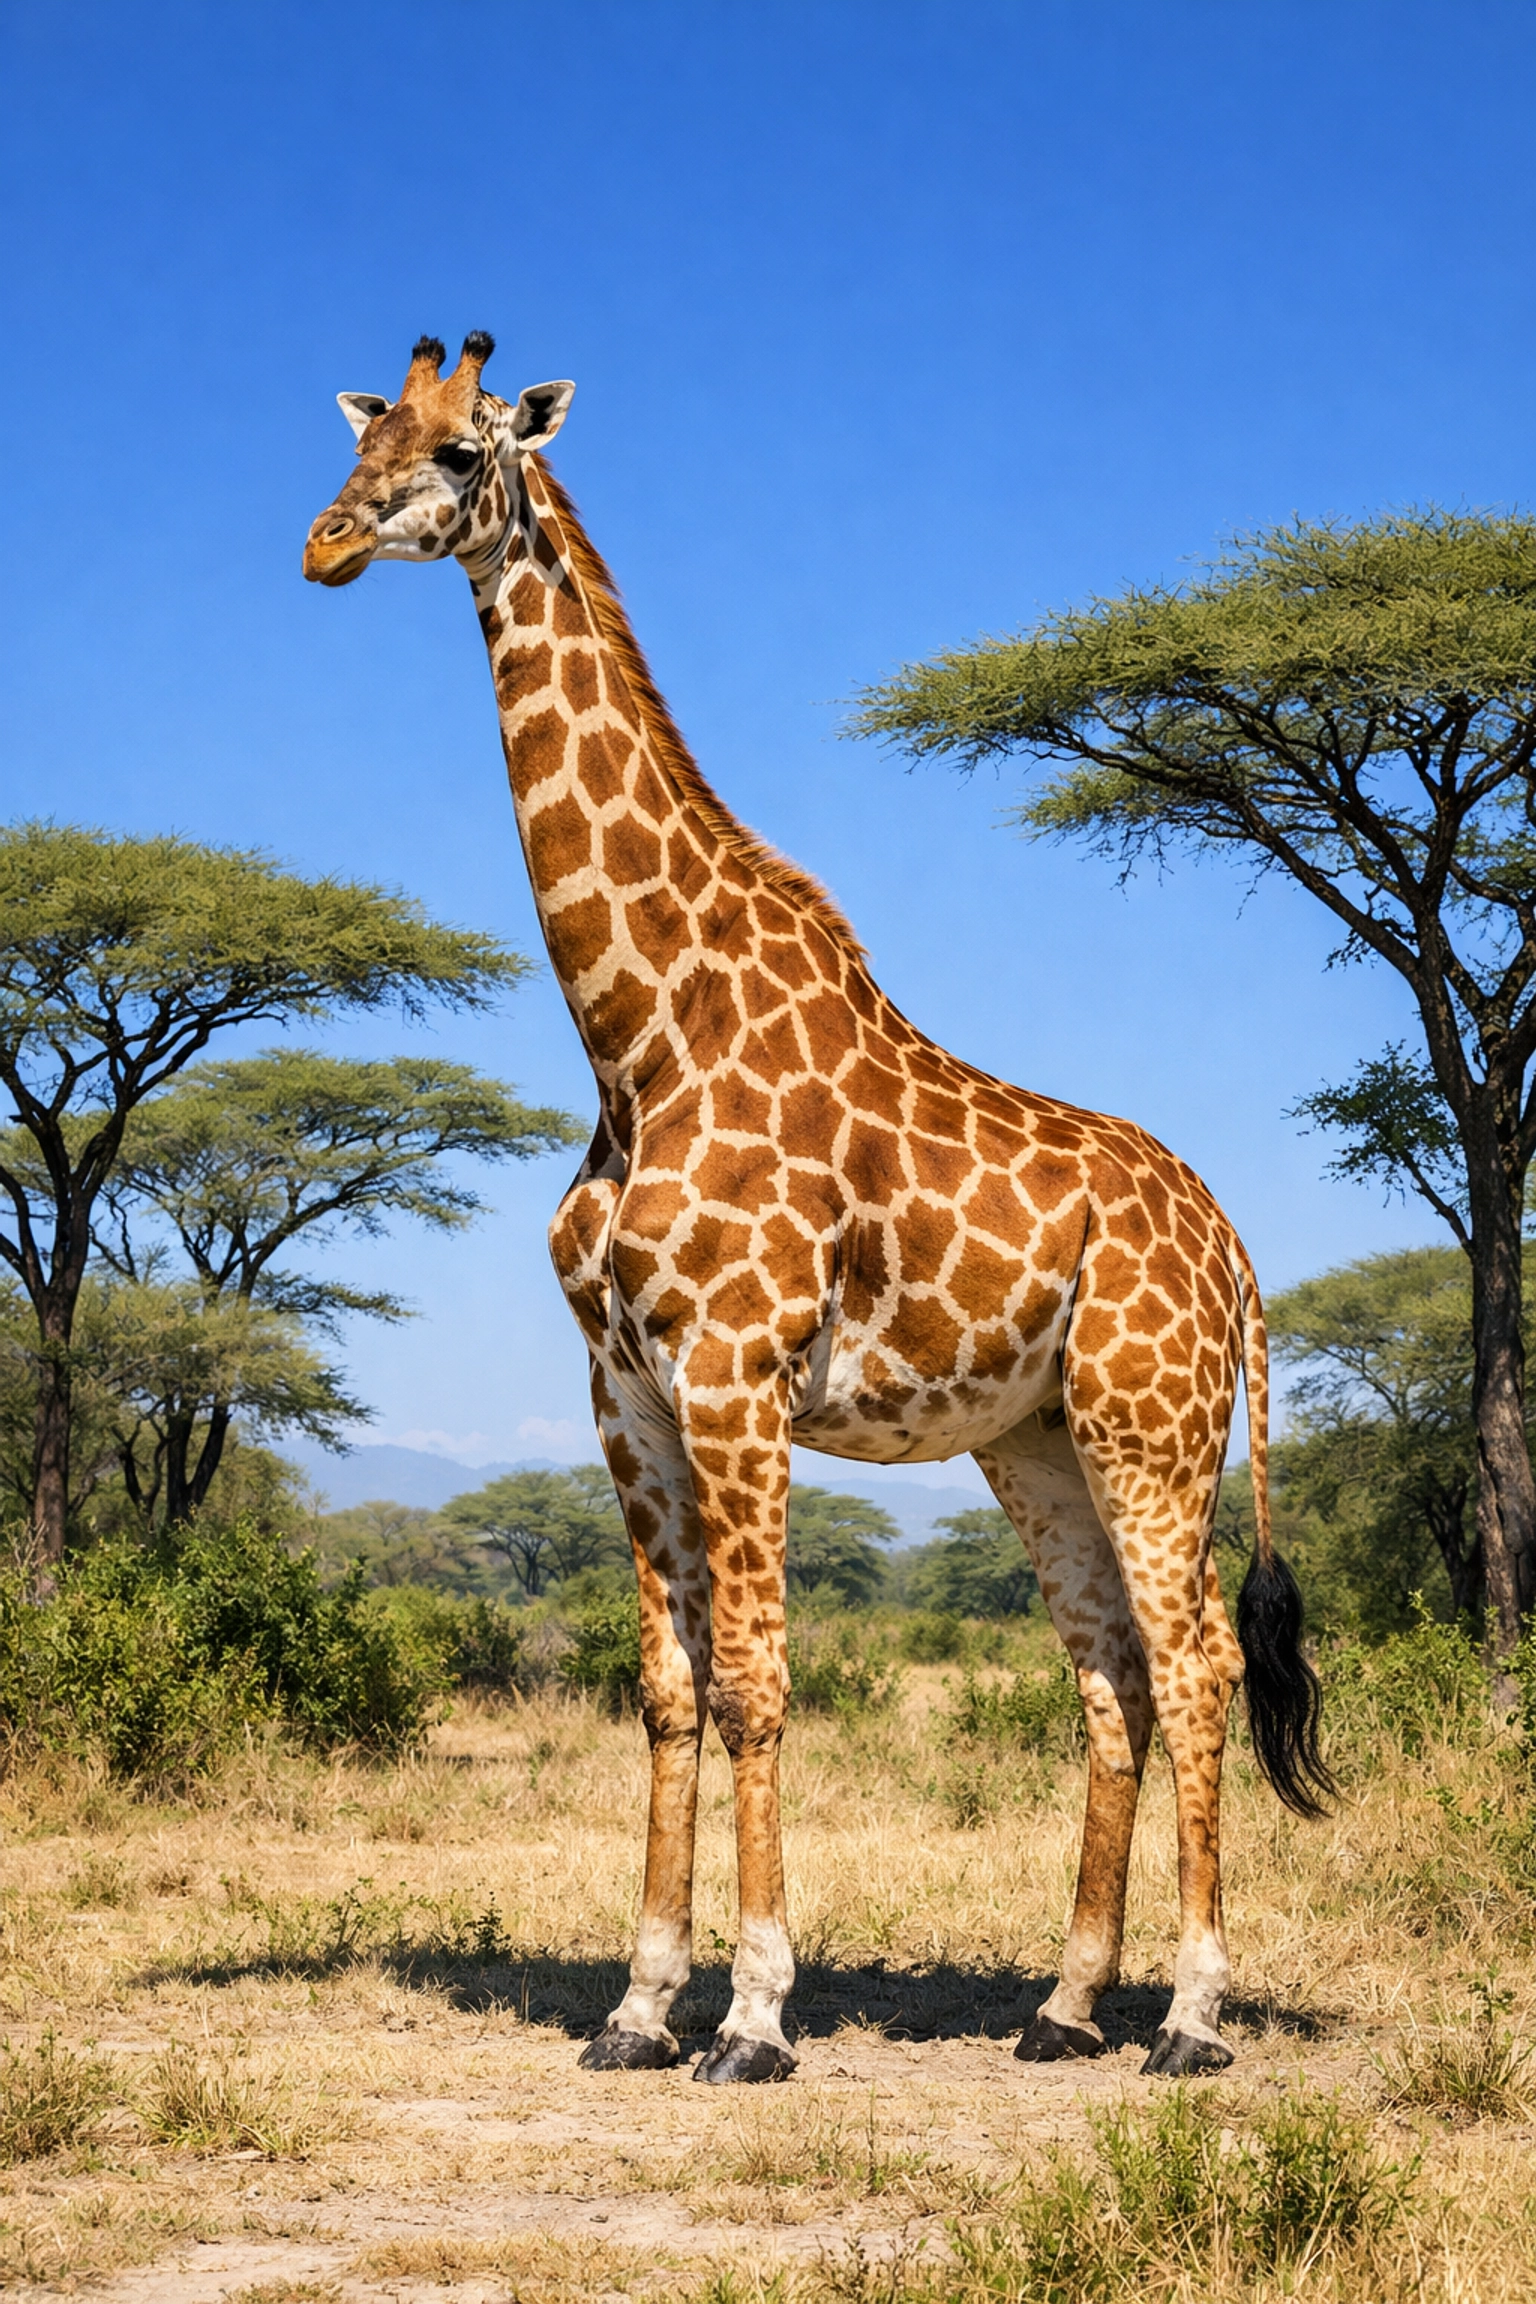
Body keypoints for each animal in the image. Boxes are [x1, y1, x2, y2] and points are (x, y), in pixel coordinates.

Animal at [303, 334, 1331, 2085]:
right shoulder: (625, 1391)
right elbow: (669, 1688)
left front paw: (756, 2018)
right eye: (371, 435)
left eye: (461, 452)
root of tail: (1240, 1252)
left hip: (1154, 1428)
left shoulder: (735, 1379)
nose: (322, 543)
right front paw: (636, 2010)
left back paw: (1192, 2020)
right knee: (1113, 1677)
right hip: (1037, 1442)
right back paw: (1066, 2008)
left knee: (1194, 1664)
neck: (638, 1032)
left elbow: (761, 1687)